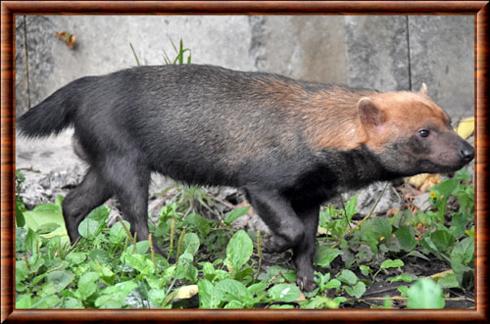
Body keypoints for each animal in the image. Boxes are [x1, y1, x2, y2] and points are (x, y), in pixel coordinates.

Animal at [19, 64, 474, 292]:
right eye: (422, 132)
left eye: (448, 119)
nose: (468, 151)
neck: (313, 130)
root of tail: (85, 87)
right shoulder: (261, 184)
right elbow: (291, 230)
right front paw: (269, 246)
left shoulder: (311, 194)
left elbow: (308, 240)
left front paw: (306, 282)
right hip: (127, 166)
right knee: (136, 223)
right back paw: (160, 260)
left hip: (105, 166)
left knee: (71, 203)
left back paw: (79, 250)